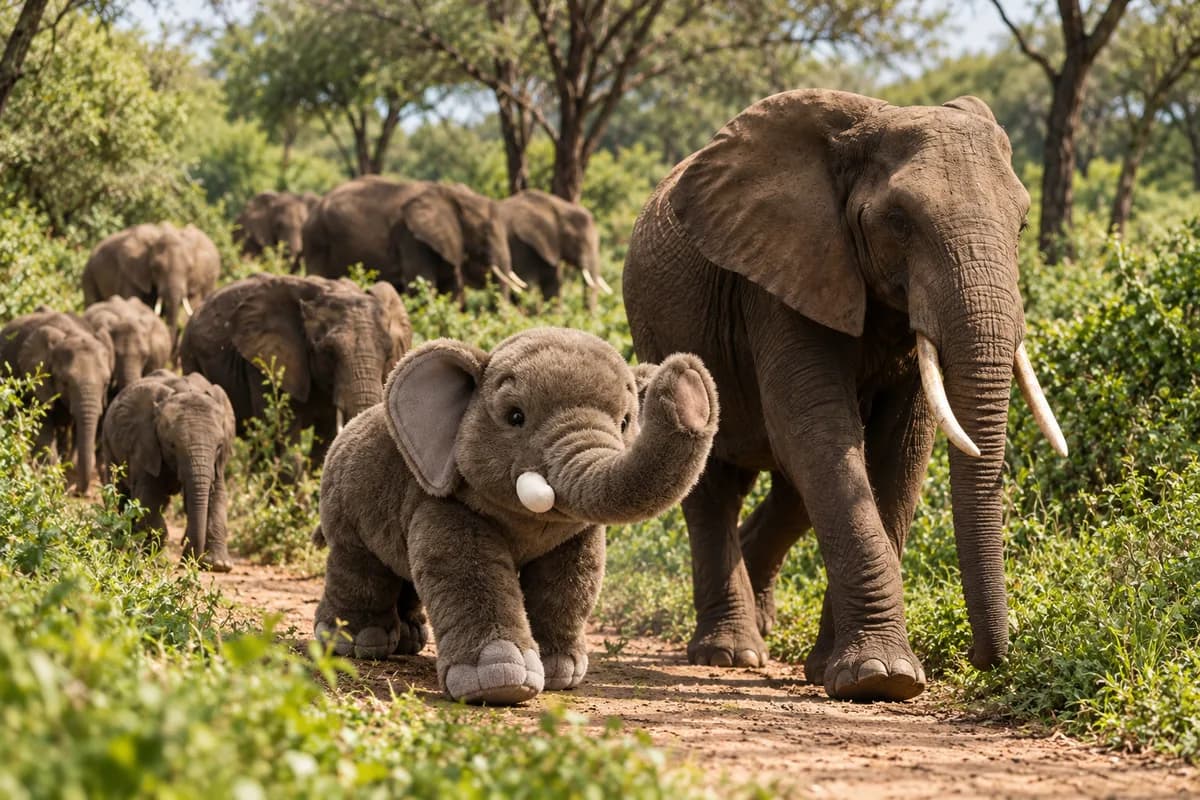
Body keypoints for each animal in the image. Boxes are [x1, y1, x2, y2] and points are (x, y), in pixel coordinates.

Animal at [1, 311, 114, 493]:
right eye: (65, 382)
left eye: (106, 383)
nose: (77, 491)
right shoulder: (37, 379)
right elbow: (42, 426)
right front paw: (51, 478)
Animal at [101, 371, 236, 572]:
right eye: (171, 445)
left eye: (219, 446)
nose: (190, 562)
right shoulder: (145, 444)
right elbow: (148, 500)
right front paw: (158, 559)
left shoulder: (217, 461)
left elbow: (217, 496)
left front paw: (219, 565)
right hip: (109, 447)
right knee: (122, 495)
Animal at [179, 274, 412, 463]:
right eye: (328, 352)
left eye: (389, 353)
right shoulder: (265, 362)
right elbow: (283, 435)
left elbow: (324, 444)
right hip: (190, 354)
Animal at [313, 328, 718, 704]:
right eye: (515, 416)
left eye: (625, 422)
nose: (686, 376)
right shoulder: (442, 503)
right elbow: (467, 570)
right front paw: (500, 683)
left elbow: (572, 577)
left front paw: (560, 672)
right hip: (343, 503)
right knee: (360, 567)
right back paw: (356, 643)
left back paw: (409, 640)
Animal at [623, 89, 1068, 702]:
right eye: (899, 221)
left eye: (1022, 224)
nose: (986, 659)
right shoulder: (781, 275)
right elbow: (820, 433)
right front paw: (882, 678)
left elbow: (899, 452)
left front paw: (837, 671)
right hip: (660, 331)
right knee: (712, 482)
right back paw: (730, 652)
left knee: (789, 494)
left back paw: (761, 624)